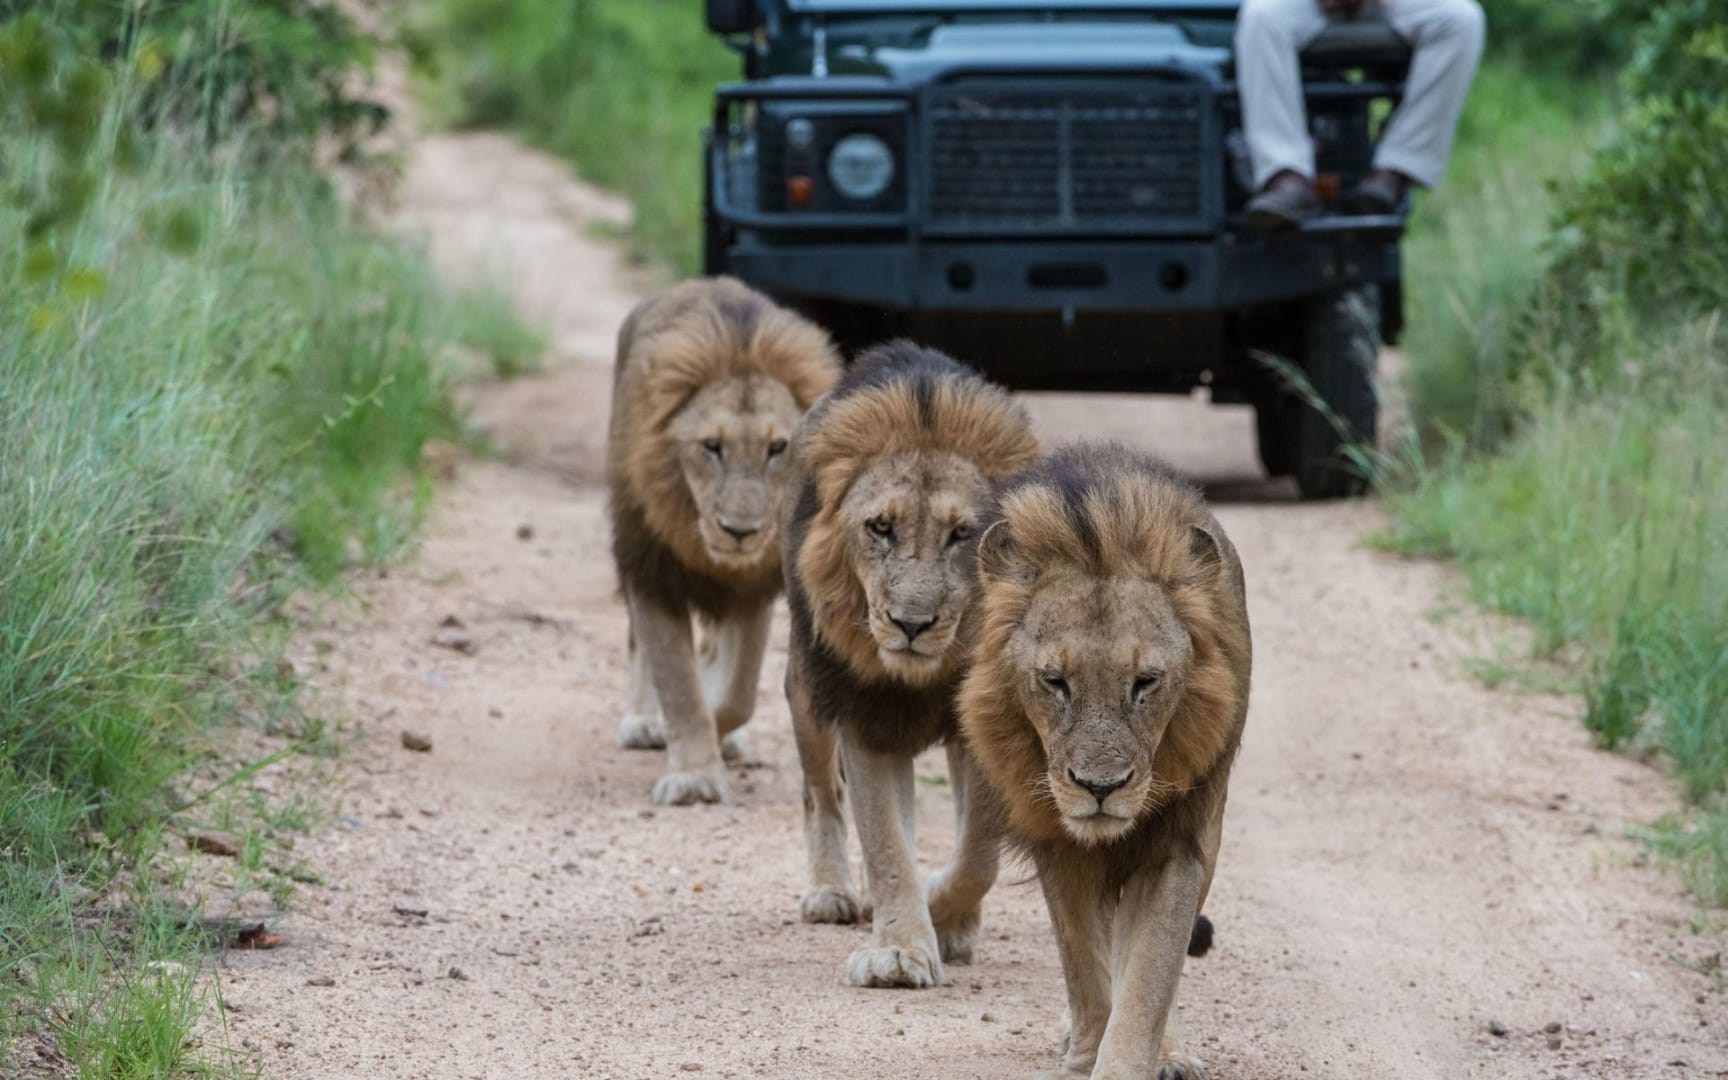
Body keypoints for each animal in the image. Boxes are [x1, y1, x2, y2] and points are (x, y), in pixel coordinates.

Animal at [607, 277, 840, 806]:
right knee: (635, 643)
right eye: (711, 447)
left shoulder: (756, 585)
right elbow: (677, 682)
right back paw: (643, 721)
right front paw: (694, 776)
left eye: (777, 448)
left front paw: (719, 728)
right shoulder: (651, 569)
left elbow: (740, 690)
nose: (740, 530)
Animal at [782, 340, 1041, 988]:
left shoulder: (983, 725)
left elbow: (978, 852)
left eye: (961, 534)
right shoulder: (863, 715)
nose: (911, 624)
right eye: (880, 527)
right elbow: (886, 844)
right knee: (821, 793)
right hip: (807, 689)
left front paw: (944, 917)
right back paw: (833, 892)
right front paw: (899, 952)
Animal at [958, 443, 1251, 1079]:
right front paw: (1086, 1049)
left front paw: (1132, 1058)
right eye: (1055, 682)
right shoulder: (1056, 840)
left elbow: (1148, 976)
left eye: (1145, 682)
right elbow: (1084, 965)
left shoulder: (1178, 840)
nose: (1100, 786)